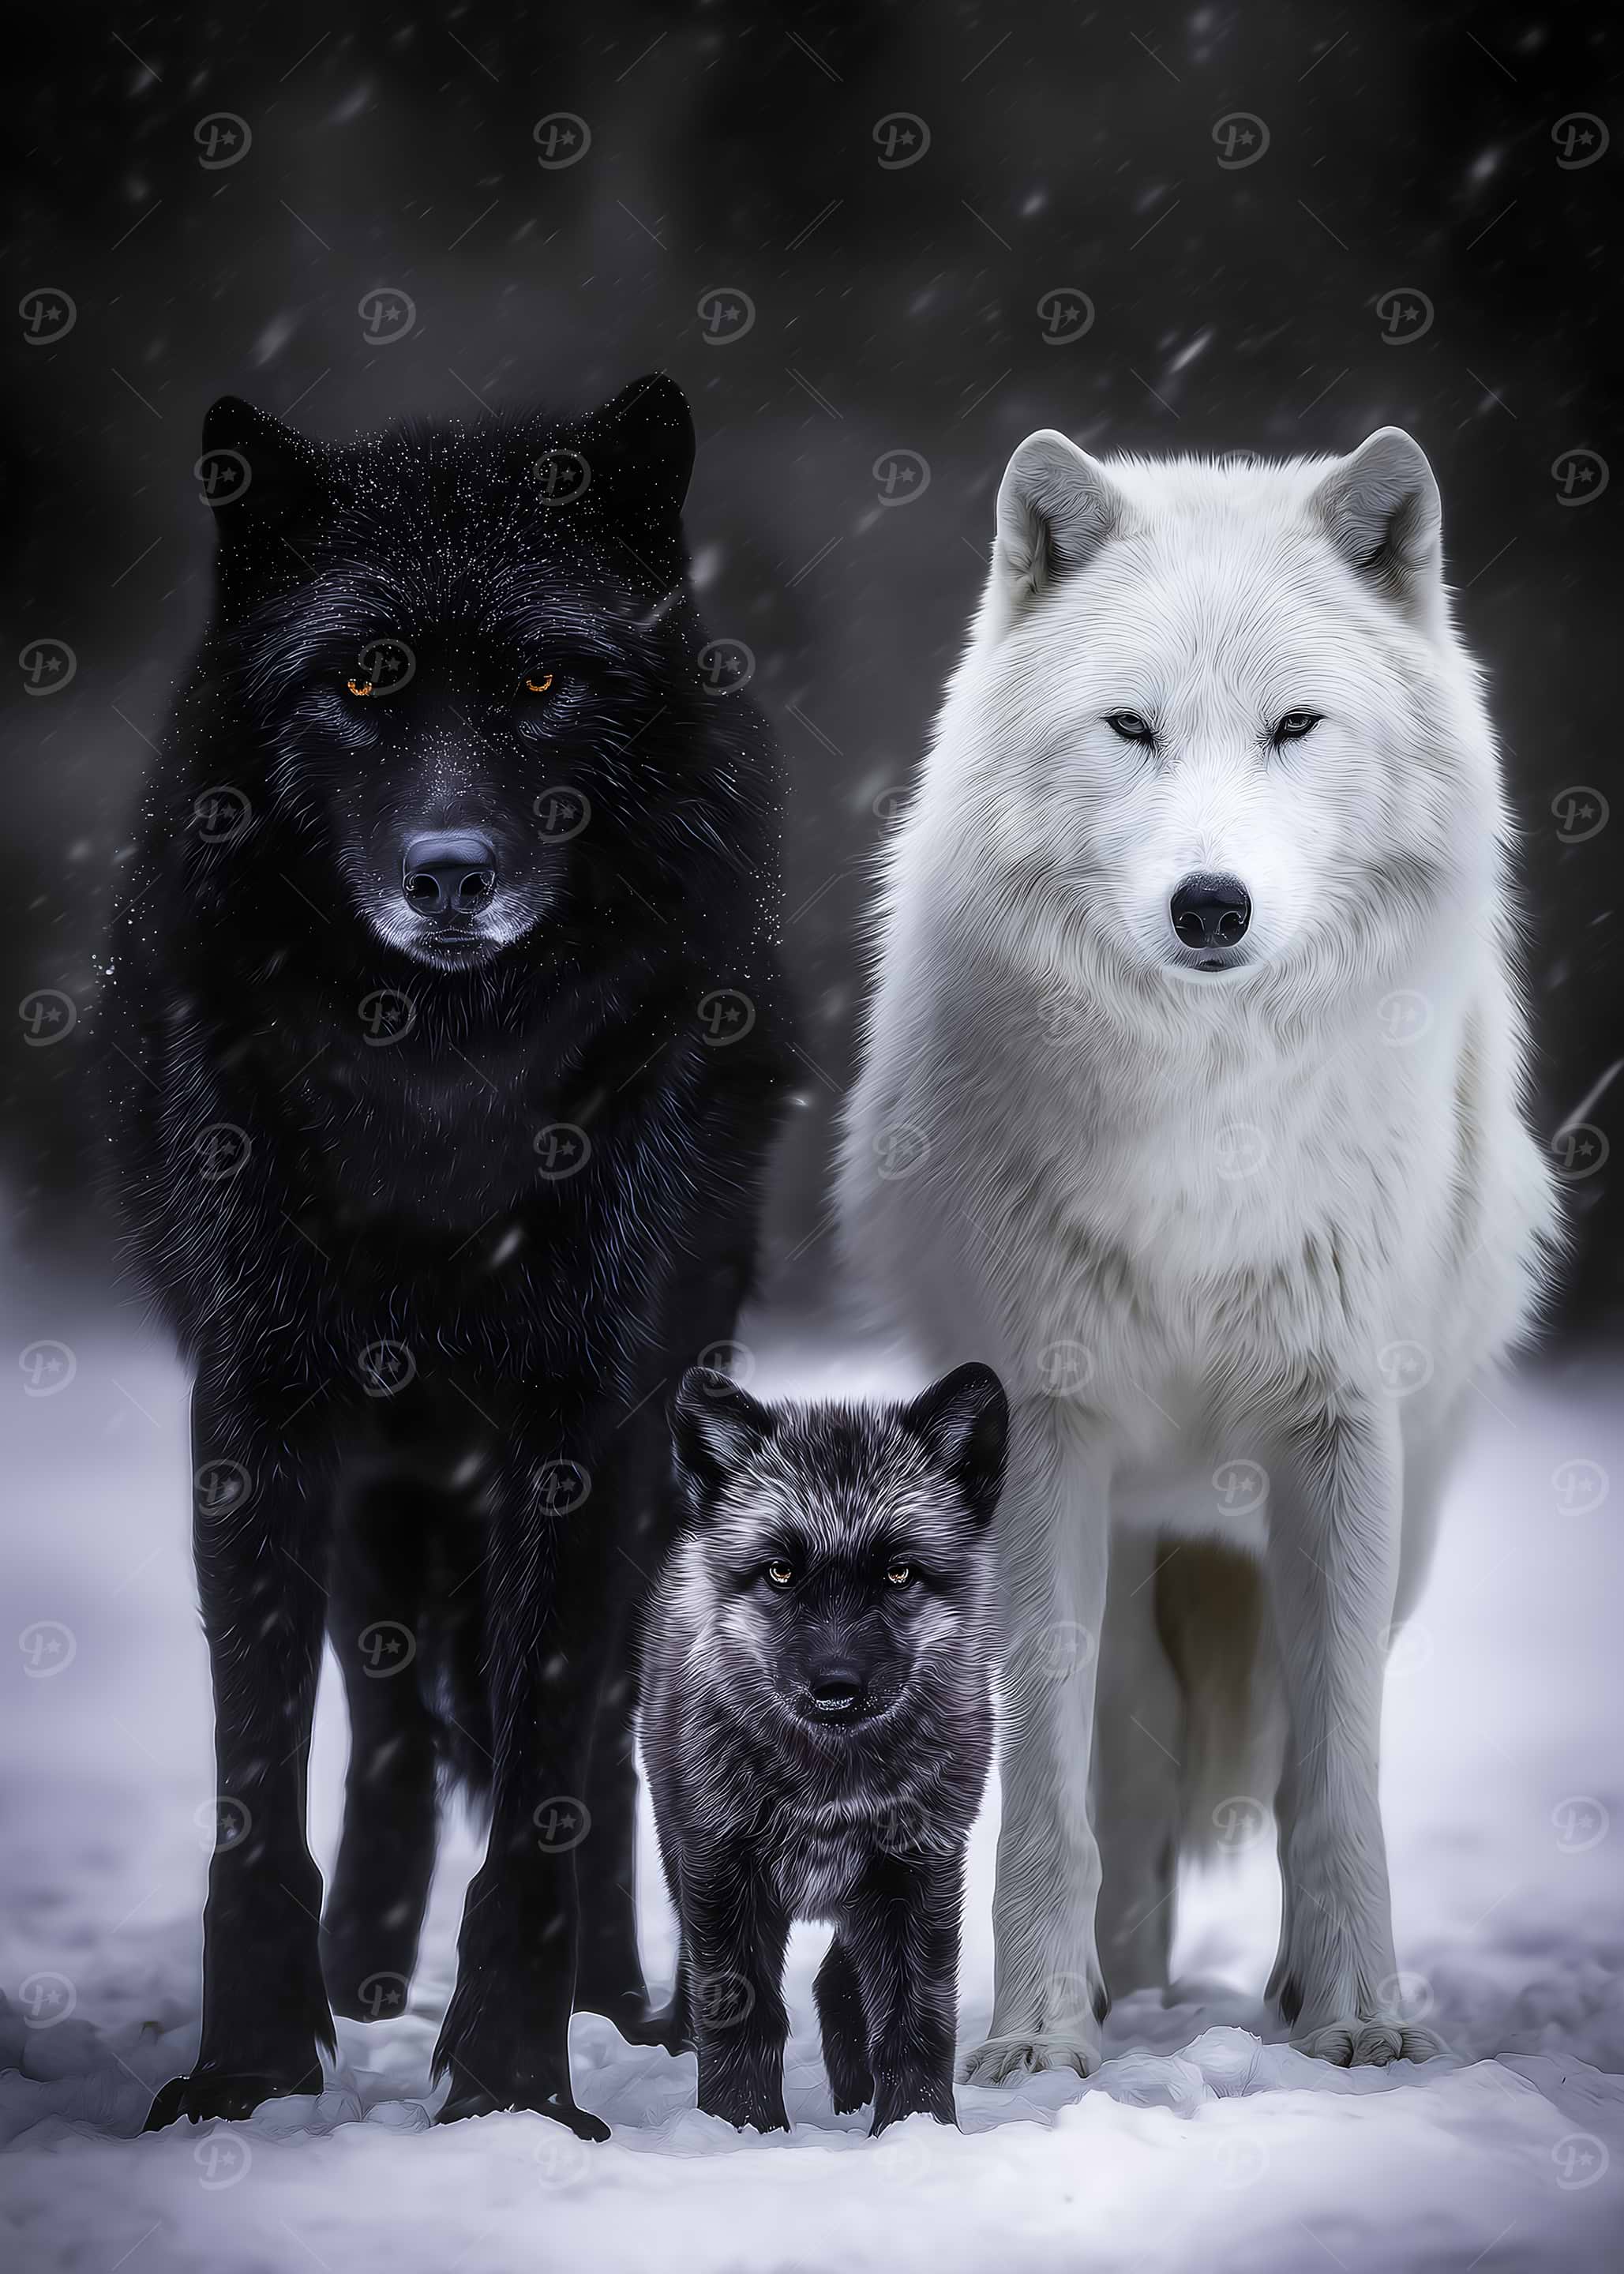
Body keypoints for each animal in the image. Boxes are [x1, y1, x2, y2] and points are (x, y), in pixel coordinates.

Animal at [104, 376, 791, 2136]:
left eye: (540, 681)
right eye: (359, 679)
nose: (451, 868)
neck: (439, 1095)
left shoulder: (581, 1419)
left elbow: (551, 1769)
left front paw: (512, 2086)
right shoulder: (259, 1411)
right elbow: (261, 1777)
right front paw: (251, 2068)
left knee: (602, 1736)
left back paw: (622, 2005)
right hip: (386, 1486)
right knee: (388, 1729)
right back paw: (360, 1982)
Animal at [640, 1361, 1007, 2133]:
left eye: (899, 1572)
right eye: (780, 1571)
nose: (836, 1687)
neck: (829, 1789)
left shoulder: (919, 1870)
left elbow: (915, 2021)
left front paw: (917, 2131)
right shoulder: (723, 1868)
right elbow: (743, 2017)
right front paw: (740, 2131)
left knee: (835, 1982)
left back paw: (855, 2102)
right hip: (682, 1862)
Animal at [840, 426, 1557, 2080]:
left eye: (1294, 726)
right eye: (1131, 729)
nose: (1209, 905)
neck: (1202, 1119)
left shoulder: (1339, 1433)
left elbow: (1334, 1777)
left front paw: (1358, 2016)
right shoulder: (1051, 1428)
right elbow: (1049, 1787)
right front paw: (1037, 2039)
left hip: (1396, 1516)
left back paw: (1276, 1993)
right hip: (1114, 1528)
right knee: (1136, 1747)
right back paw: (1130, 1991)